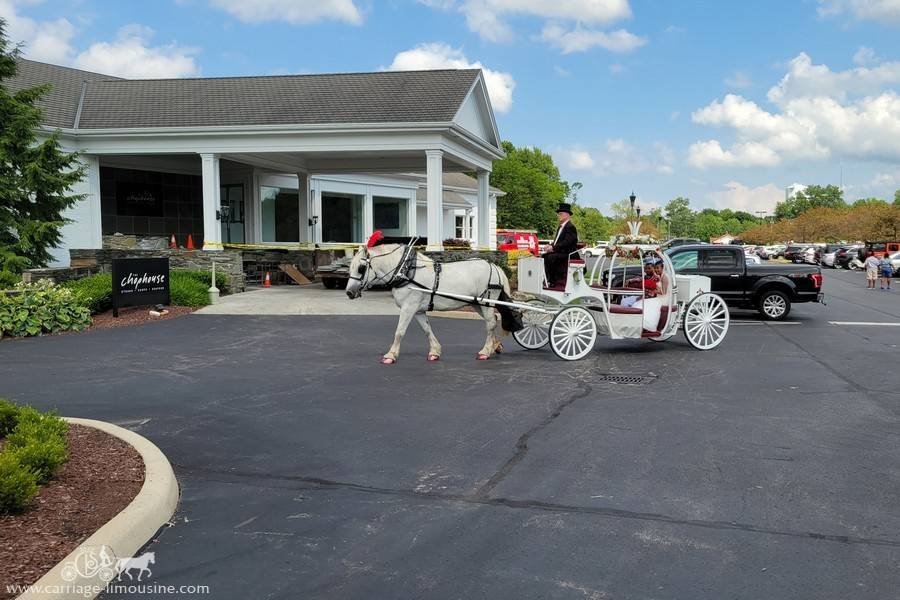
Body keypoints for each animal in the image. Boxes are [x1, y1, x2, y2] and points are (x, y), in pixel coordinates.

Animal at [344, 240, 516, 366]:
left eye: (361, 268)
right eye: (350, 268)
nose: (349, 292)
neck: (406, 271)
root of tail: (494, 266)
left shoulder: (408, 308)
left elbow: (399, 332)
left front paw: (390, 355)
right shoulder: (418, 310)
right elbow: (427, 329)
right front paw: (434, 352)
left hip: (485, 301)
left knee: (490, 323)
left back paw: (485, 352)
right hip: (477, 303)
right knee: (492, 320)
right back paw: (495, 346)